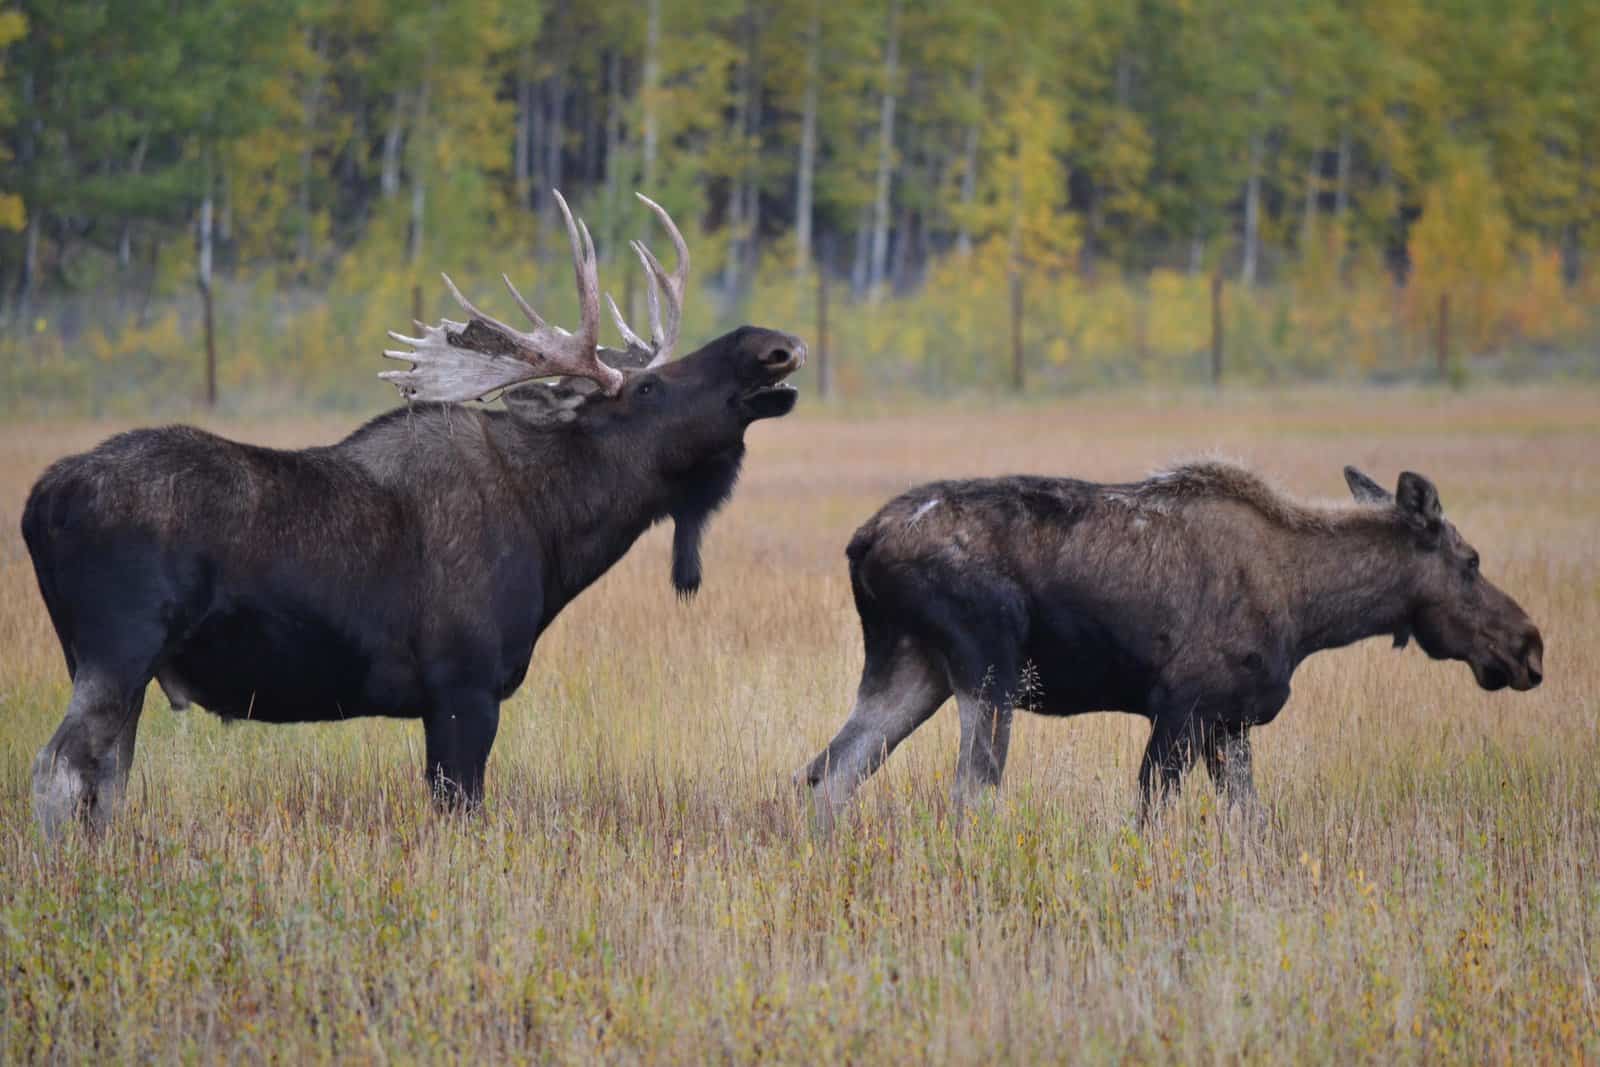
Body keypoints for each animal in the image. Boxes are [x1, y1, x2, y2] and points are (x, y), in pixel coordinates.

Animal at [23, 191, 800, 831]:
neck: (555, 532)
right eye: (646, 389)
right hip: (119, 647)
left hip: (105, 660)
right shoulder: (463, 684)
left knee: (106, 782)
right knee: (57, 772)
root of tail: (40, 502)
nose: (772, 345)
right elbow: (461, 809)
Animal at [806, 460, 1542, 825]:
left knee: (828, 773)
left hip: (913, 668)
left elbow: (1251, 823)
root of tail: (862, 541)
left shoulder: (1230, 723)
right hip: (989, 667)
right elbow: (1151, 817)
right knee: (971, 791)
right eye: (1471, 560)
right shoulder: (1182, 709)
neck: (1310, 612)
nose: (1530, 646)